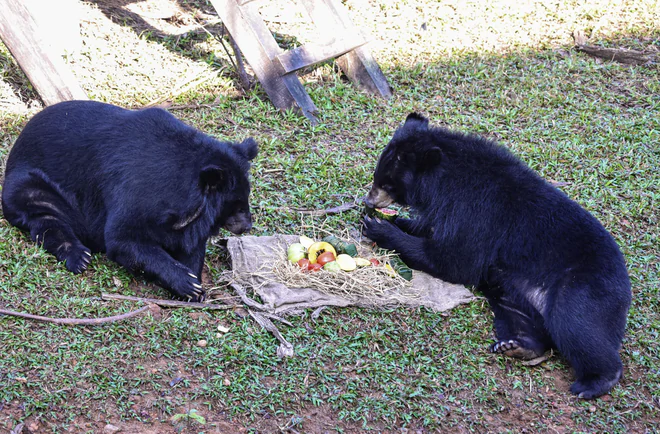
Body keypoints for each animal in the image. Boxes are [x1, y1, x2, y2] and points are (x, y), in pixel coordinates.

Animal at [2, 100, 258, 302]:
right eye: (236, 205)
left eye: (244, 200)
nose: (247, 226)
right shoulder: (135, 194)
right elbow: (123, 239)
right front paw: (187, 283)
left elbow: (191, 245)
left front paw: (195, 286)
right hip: (31, 184)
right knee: (46, 218)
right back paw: (79, 257)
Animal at [362, 113, 631, 399]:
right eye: (377, 177)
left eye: (387, 183)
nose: (369, 201)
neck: (444, 180)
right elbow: (432, 232)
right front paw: (394, 221)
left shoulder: (476, 210)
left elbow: (455, 260)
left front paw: (379, 228)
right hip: (514, 291)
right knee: (517, 315)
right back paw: (517, 345)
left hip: (585, 287)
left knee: (577, 325)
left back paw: (594, 382)